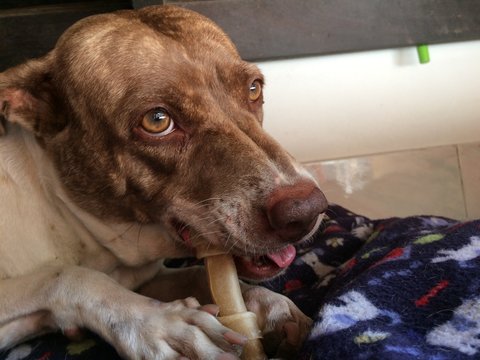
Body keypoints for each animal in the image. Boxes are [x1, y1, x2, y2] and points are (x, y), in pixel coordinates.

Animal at [0, 5, 326, 360]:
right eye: (157, 121)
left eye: (254, 88)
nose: (307, 211)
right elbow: (68, 278)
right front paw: (162, 326)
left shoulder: (144, 277)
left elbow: (196, 274)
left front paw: (270, 306)